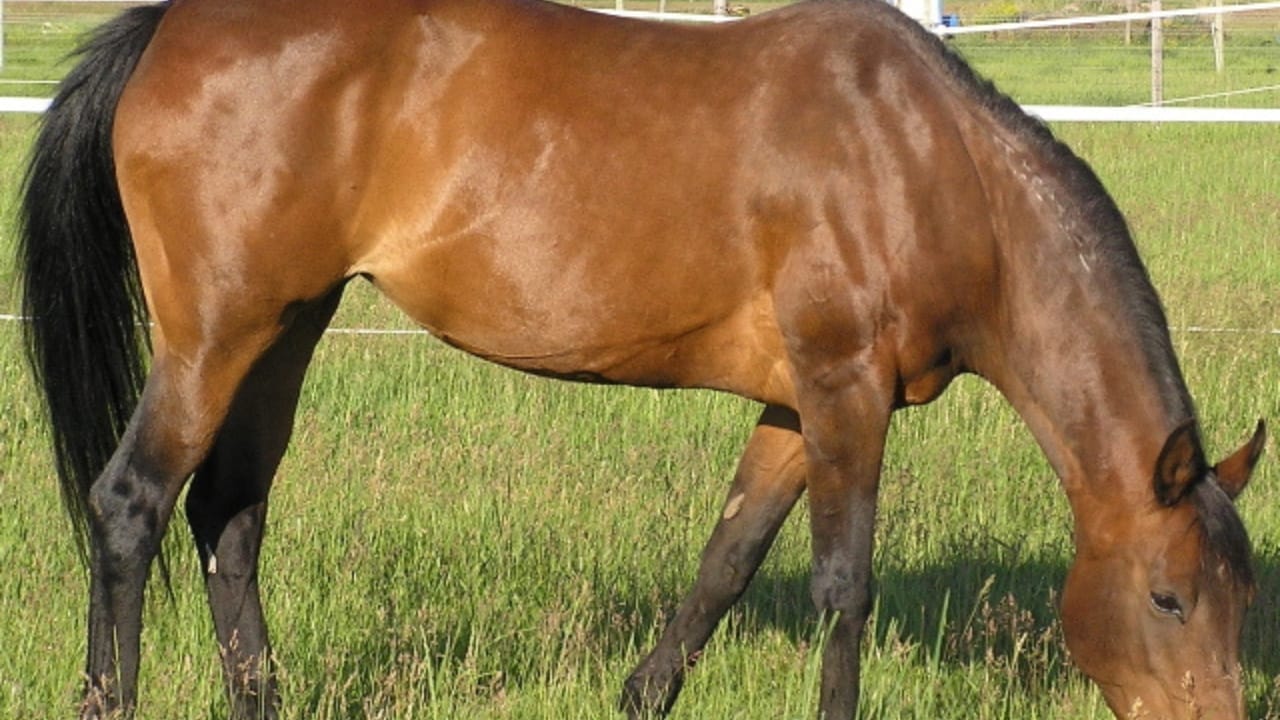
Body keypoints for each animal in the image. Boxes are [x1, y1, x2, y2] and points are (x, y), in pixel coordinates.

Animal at [18, 0, 1266, 718]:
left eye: (1240, 598)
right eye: (1166, 597)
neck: (921, 157)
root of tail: (170, 28)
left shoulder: (792, 409)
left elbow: (723, 567)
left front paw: (643, 695)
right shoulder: (845, 393)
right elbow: (842, 586)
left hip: (290, 325)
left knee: (228, 515)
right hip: (215, 334)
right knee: (132, 504)